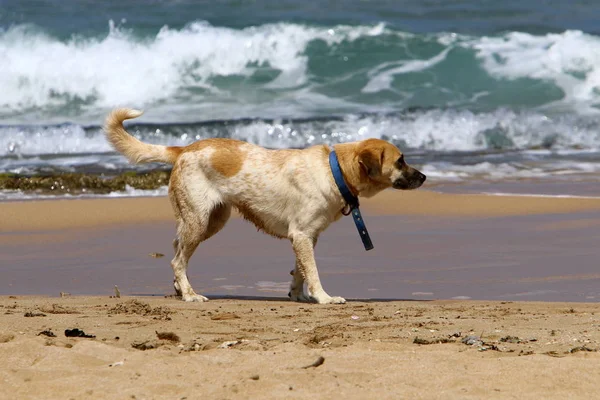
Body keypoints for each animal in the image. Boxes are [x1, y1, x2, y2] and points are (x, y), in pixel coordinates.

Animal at [104, 108, 426, 304]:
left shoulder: (306, 237)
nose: (424, 177)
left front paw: (299, 296)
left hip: (211, 220)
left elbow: (300, 271)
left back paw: (179, 288)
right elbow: (313, 272)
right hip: (199, 220)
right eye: (401, 161)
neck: (334, 170)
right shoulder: (302, 236)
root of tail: (184, 149)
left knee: (175, 248)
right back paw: (190, 294)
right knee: (177, 260)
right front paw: (323, 298)